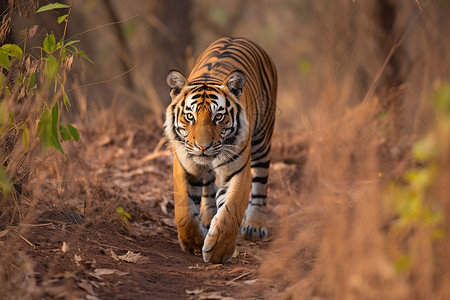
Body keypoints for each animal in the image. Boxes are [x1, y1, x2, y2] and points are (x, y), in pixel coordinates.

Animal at [164, 37, 278, 262]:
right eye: (190, 116)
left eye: (219, 116)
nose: (203, 147)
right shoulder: (185, 165)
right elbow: (184, 211)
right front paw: (194, 242)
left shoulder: (238, 170)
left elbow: (231, 209)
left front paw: (218, 250)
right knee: (208, 185)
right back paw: (208, 218)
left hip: (263, 140)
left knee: (261, 184)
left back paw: (254, 225)